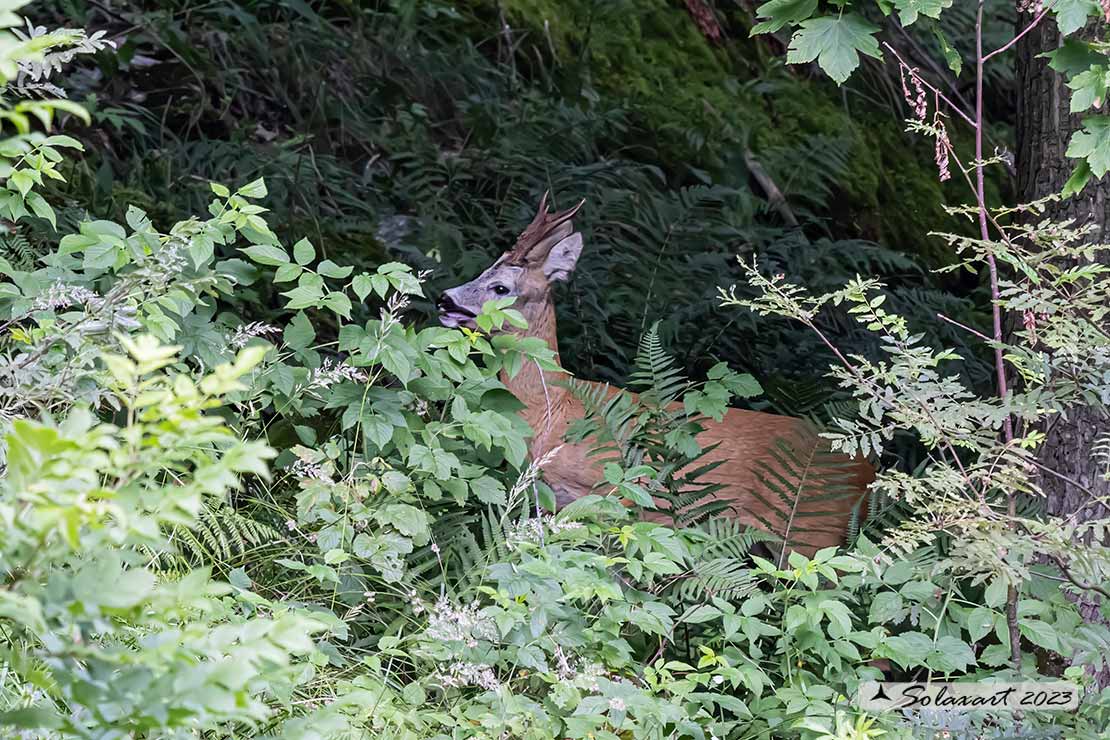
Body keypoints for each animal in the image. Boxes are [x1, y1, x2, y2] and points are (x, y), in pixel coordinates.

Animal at [437, 193, 870, 550]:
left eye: (500, 288)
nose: (443, 299)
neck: (552, 411)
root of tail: (868, 470)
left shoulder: (621, 495)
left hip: (811, 531)